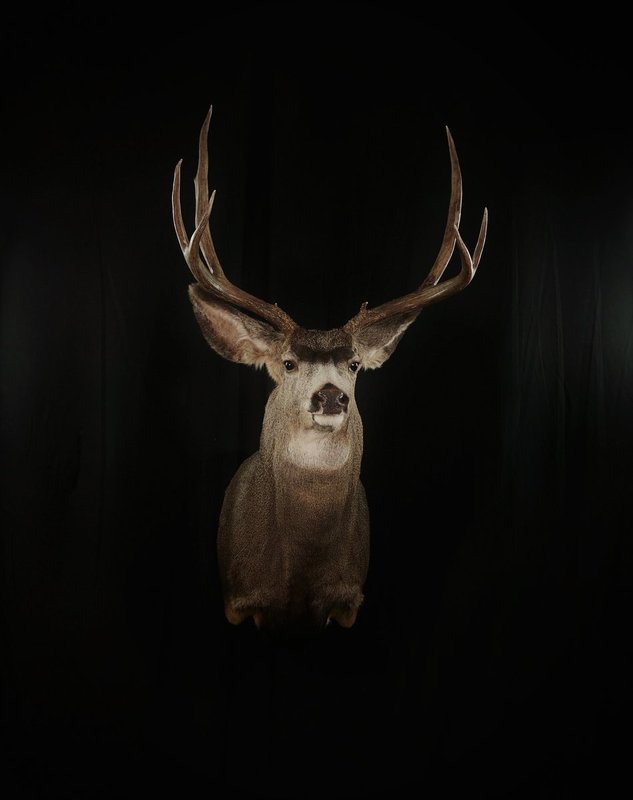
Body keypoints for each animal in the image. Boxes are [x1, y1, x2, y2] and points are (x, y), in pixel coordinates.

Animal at [172, 106, 487, 640]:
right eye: (288, 364)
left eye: (355, 365)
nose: (330, 397)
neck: (300, 566)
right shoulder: (241, 599)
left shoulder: (347, 599)